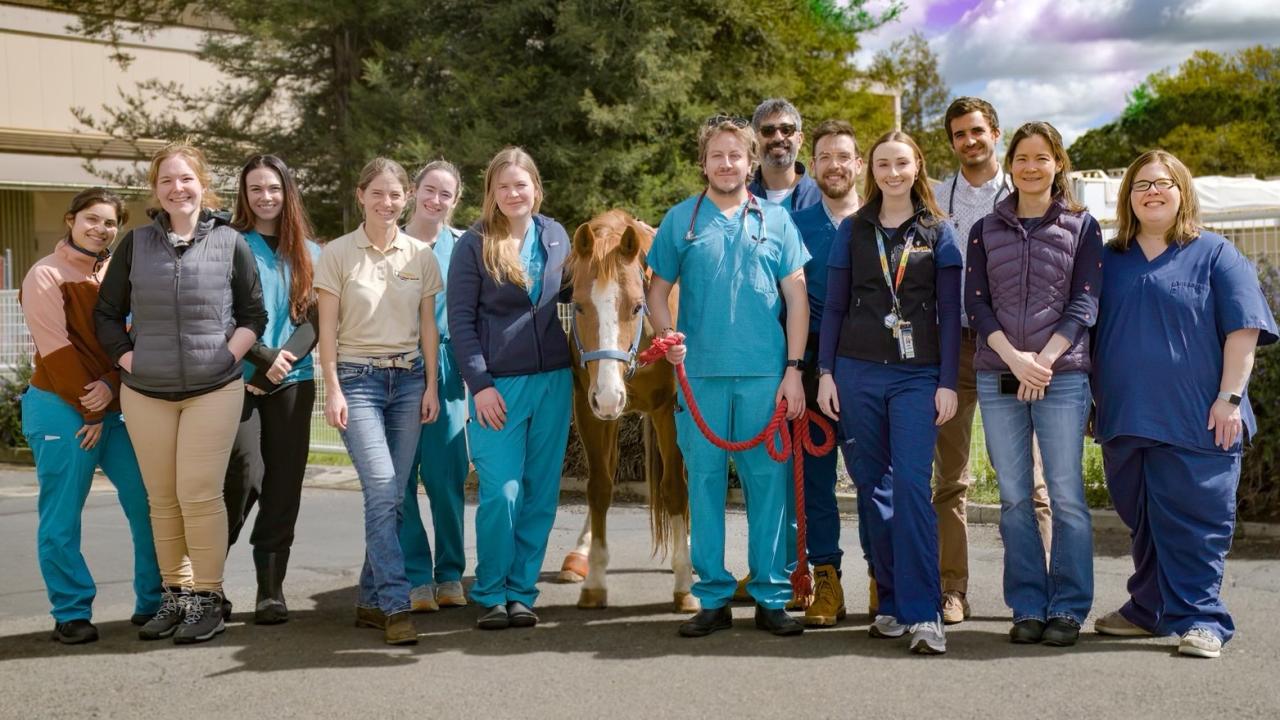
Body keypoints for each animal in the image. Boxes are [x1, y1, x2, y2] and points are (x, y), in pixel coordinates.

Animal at [560, 207, 701, 609]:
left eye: (637, 305)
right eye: (578, 305)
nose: (609, 395)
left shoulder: (669, 409)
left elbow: (675, 487)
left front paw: (684, 584)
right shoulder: (588, 407)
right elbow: (599, 486)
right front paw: (594, 580)